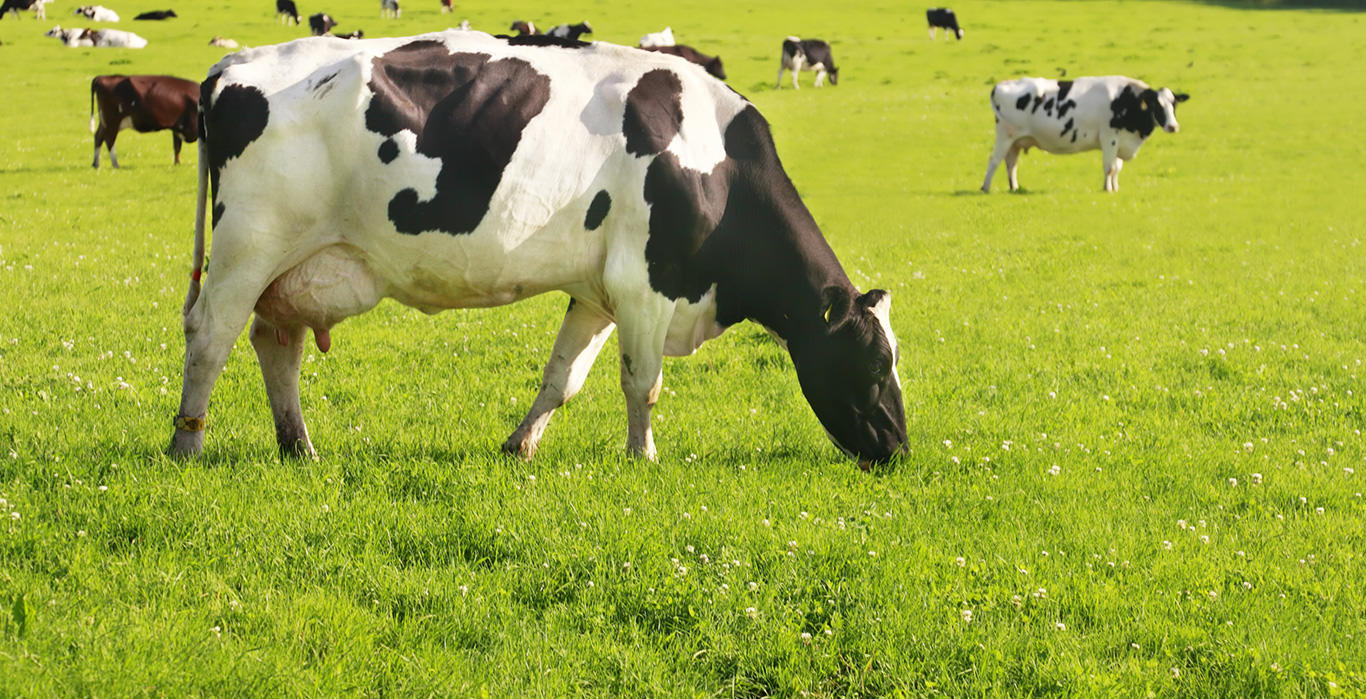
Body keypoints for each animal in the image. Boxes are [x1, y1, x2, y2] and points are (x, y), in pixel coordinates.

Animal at [169, 30, 908, 469]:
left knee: (276, 343)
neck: (712, 158)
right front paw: (643, 457)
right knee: (211, 335)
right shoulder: (647, 283)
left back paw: (299, 446)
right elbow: (643, 381)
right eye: (874, 365)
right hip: (248, 246)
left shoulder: (598, 292)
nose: (900, 448)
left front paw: (520, 444)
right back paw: (187, 439)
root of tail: (234, 63)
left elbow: (564, 377)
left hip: (295, 265)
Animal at [982, 76, 1189, 193]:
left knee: (1011, 164)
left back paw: (1014, 187)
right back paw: (985, 188)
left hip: (1016, 141)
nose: (1173, 126)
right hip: (1005, 135)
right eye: (1157, 105)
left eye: (1174, 104)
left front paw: (1115, 187)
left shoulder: (1120, 140)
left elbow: (1117, 167)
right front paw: (1107, 189)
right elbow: (1109, 167)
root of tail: (1001, 85)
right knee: (994, 160)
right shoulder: (1109, 137)